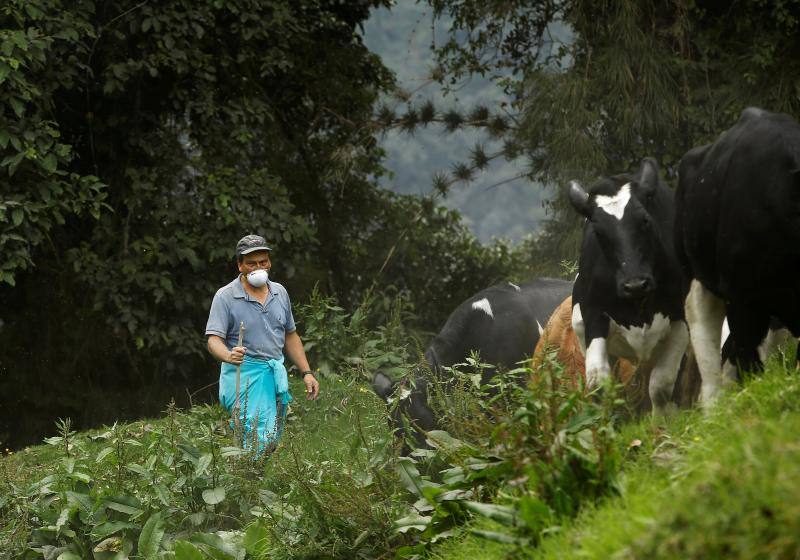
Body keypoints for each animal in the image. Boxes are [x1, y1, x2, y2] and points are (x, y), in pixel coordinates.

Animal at [564, 158, 692, 416]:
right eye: (598, 231)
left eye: (645, 220)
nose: (635, 285)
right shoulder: (594, 317)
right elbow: (599, 384)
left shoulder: (679, 319)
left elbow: (661, 386)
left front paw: (662, 422)